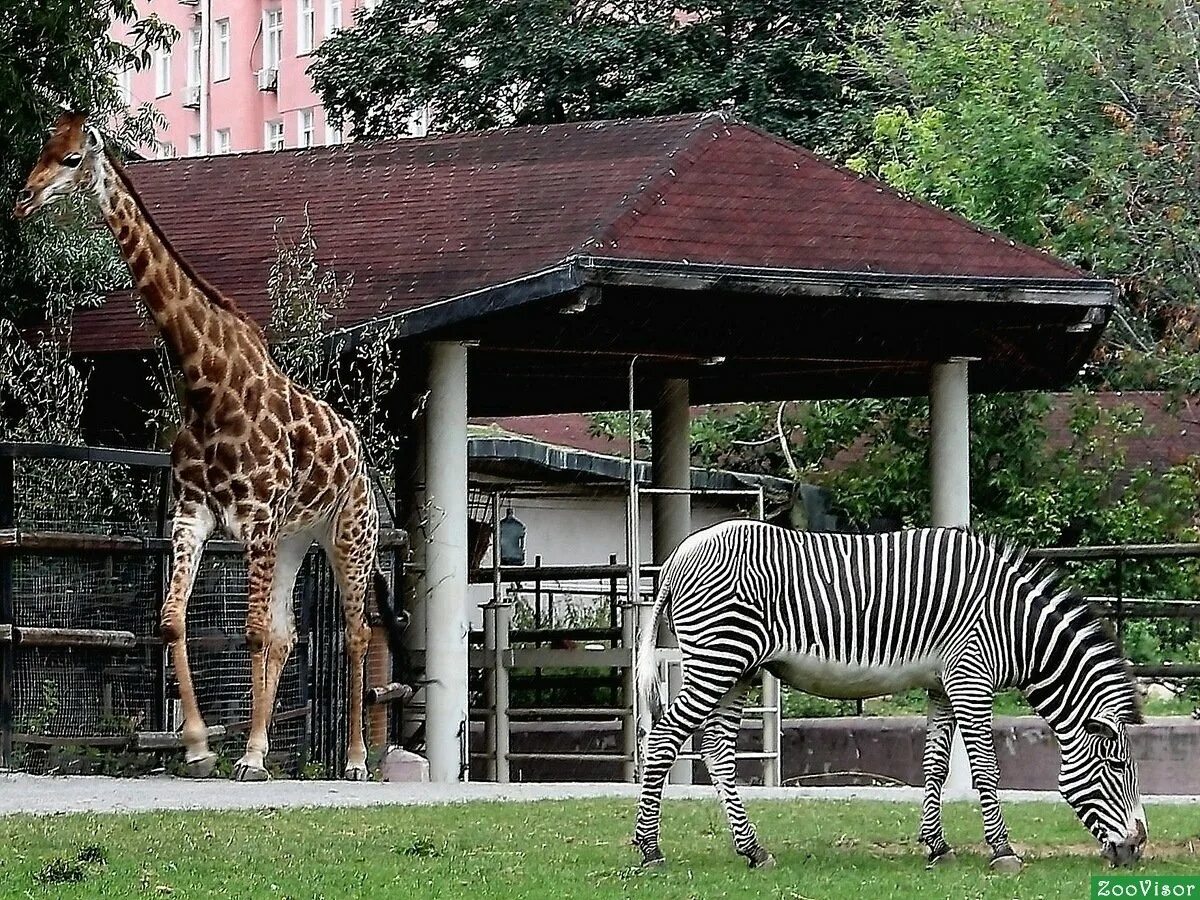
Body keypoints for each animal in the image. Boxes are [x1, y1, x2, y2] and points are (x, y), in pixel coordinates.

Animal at [14, 112, 408, 782]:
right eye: (43, 148)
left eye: (71, 159)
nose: (22, 198)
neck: (206, 382)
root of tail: (363, 459)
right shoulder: (193, 515)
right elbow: (173, 623)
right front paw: (200, 747)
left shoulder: (254, 519)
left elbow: (249, 633)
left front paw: (247, 755)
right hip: (295, 537)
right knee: (288, 632)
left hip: (349, 534)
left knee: (354, 633)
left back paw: (355, 760)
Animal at [633, 520, 1147, 873]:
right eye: (1117, 767)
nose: (1138, 847)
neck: (1013, 623)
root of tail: (680, 553)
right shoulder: (971, 676)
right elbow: (986, 768)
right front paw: (1002, 852)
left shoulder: (943, 683)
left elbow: (935, 766)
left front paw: (937, 847)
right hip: (718, 657)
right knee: (663, 739)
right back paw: (650, 851)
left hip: (738, 669)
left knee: (716, 750)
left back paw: (754, 851)